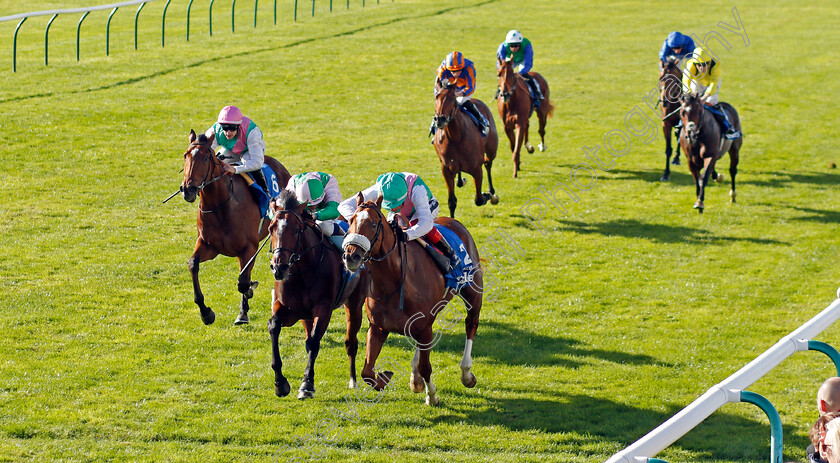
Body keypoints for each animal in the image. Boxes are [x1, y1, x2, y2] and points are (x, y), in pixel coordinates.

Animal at [181, 130, 292, 326]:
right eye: (186, 155)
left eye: (206, 158)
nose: (188, 189)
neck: (221, 205)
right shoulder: (209, 245)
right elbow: (193, 264)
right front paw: (206, 313)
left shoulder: (249, 248)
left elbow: (243, 281)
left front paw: (245, 304)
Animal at [268, 190, 370, 400]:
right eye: (271, 227)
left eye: (297, 230)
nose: (279, 267)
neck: (302, 271)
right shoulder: (288, 308)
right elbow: (274, 326)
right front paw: (280, 383)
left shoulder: (323, 309)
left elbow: (314, 343)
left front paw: (307, 384)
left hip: (354, 304)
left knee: (351, 342)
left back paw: (353, 380)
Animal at [342, 194, 482, 408]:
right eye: (350, 222)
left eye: (373, 224)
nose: (351, 256)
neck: (394, 282)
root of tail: (454, 222)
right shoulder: (378, 327)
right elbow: (367, 371)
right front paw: (384, 378)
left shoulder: (424, 328)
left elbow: (426, 367)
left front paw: (432, 395)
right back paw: (415, 379)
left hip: (473, 292)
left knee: (471, 324)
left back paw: (466, 374)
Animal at [434, 81, 498, 219]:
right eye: (436, 97)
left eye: (452, 99)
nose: (440, 119)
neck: (456, 137)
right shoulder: (446, 169)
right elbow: (452, 202)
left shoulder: (477, 169)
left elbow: (478, 199)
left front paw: (487, 195)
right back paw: (460, 181)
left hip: (492, 149)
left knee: (488, 163)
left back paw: (491, 192)